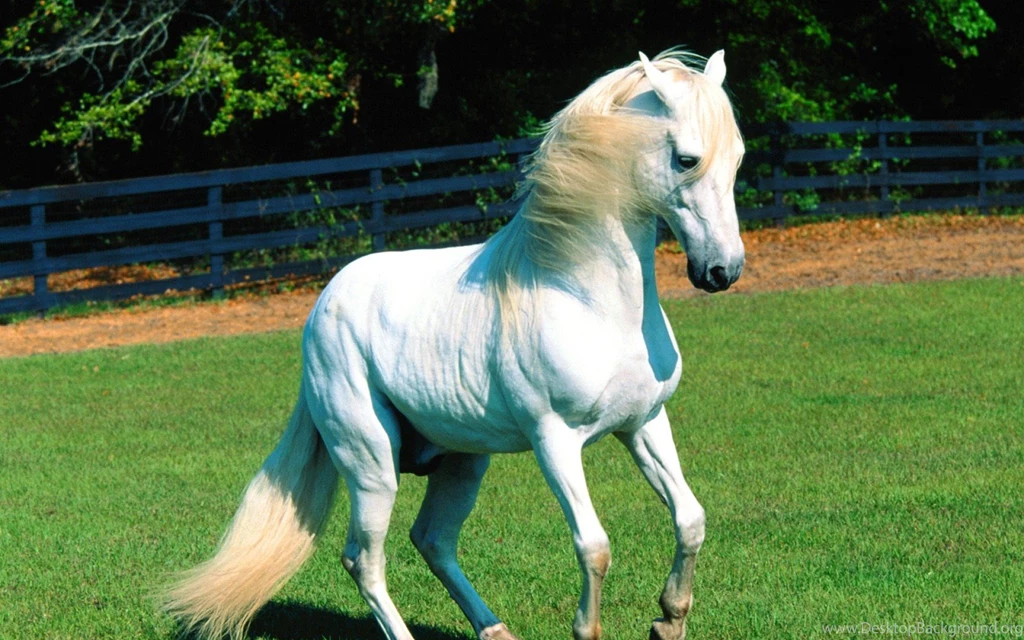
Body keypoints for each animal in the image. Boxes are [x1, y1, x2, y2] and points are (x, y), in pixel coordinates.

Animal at [161, 49, 745, 640]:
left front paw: (668, 619)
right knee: (363, 560)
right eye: (687, 159)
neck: (588, 299)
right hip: (372, 466)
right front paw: (592, 628)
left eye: (738, 157)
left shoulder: (643, 423)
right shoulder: (554, 441)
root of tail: (323, 306)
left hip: (462, 462)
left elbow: (690, 519)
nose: (722, 271)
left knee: (432, 540)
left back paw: (496, 630)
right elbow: (593, 546)